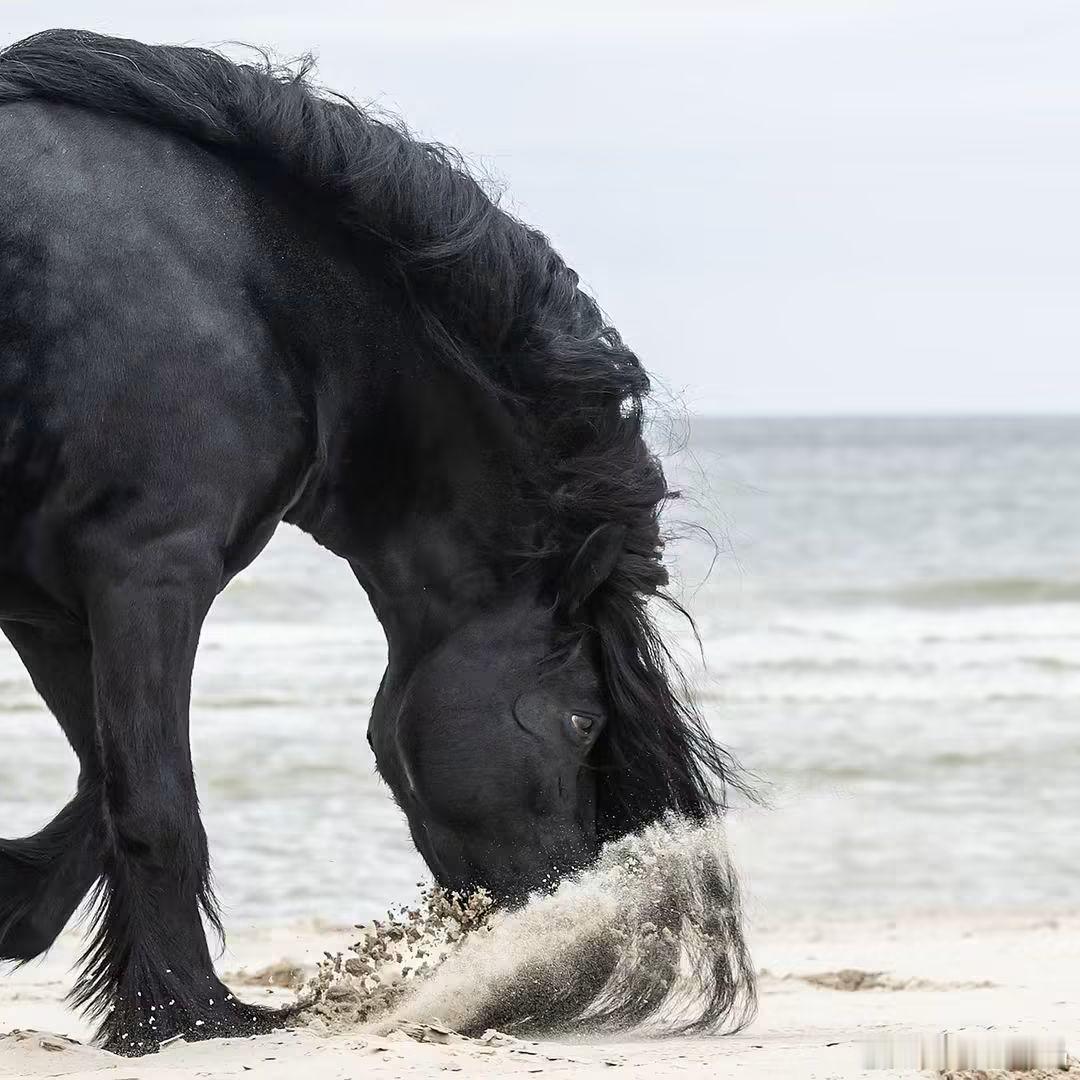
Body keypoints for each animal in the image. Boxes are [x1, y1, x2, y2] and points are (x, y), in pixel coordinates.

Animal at [0, 29, 749, 1056]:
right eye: (582, 722)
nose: (573, 958)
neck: (254, 292)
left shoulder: (50, 603)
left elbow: (101, 786)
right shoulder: (148, 570)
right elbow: (155, 806)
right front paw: (188, 1014)